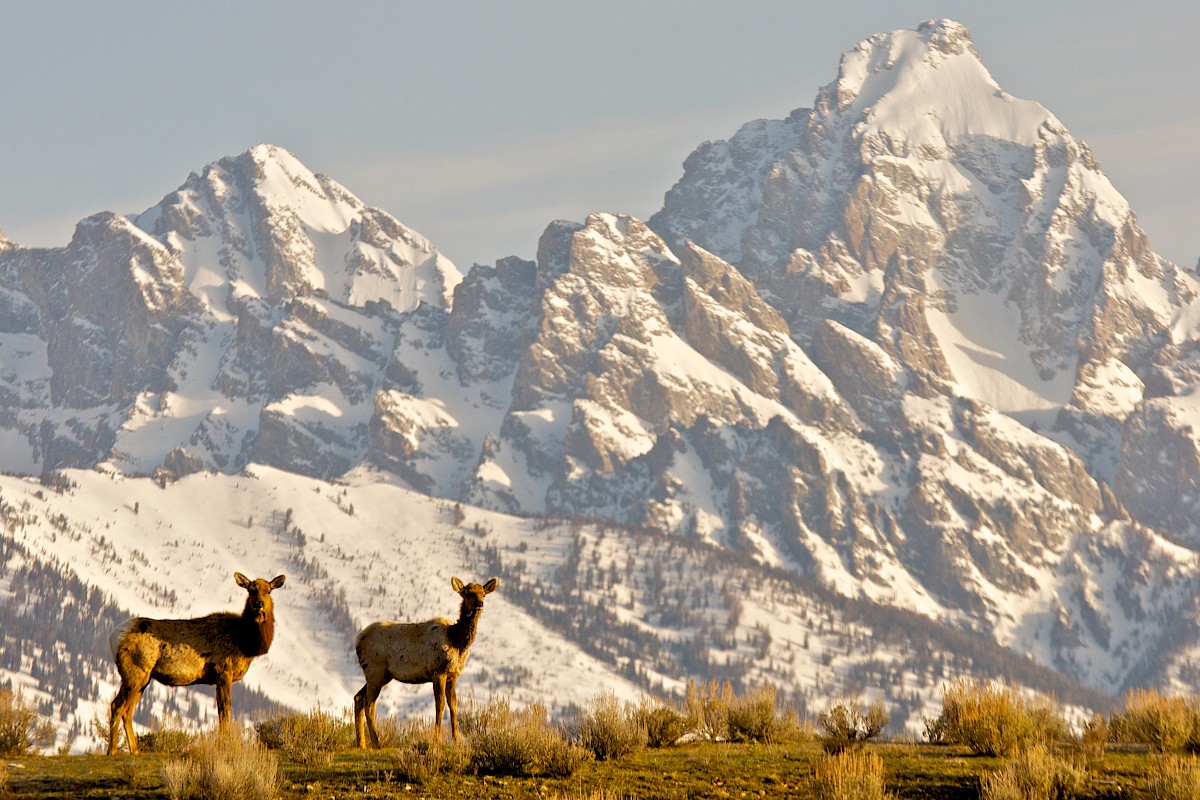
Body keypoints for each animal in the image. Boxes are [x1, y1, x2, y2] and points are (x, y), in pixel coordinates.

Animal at [107, 572, 286, 755]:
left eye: (269, 591)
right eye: (251, 590)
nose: (259, 604)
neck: (245, 643)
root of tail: (113, 637)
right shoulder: (223, 671)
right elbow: (224, 709)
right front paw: (223, 743)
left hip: (144, 679)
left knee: (128, 710)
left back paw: (135, 751)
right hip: (134, 672)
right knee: (116, 705)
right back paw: (112, 751)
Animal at [353, 576, 498, 747]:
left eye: (483, 593)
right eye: (468, 593)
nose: (480, 604)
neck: (456, 641)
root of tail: (358, 641)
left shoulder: (453, 675)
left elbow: (453, 704)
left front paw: (457, 739)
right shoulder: (437, 671)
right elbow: (440, 704)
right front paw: (437, 740)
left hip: (382, 675)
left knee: (358, 697)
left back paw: (361, 744)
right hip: (375, 670)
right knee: (369, 703)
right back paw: (377, 743)